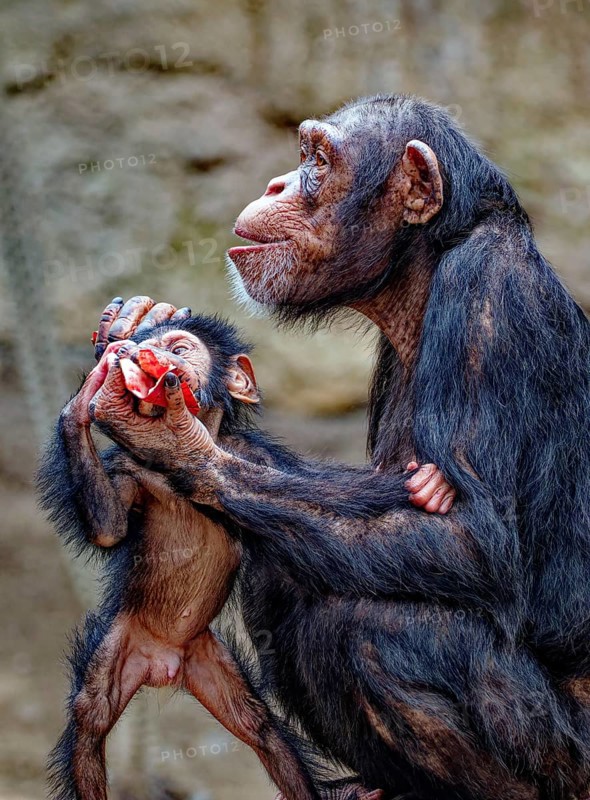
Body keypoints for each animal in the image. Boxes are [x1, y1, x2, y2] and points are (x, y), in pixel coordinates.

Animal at [39, 309, 452, 800]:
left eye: (179, 348)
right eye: (151, 346)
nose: (151, 356)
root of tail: (163, 664)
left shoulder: (254, 456)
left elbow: (320, 495)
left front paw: (427, 485)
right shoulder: (125, 469)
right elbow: (108, 529)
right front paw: (83, 403)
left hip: (209, 663)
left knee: (259, 727)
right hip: (124, 644)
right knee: (90, 714)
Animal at [87, 93, 590, 800]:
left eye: (318, 161)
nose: (278, 183)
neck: (423, 270)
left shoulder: (487, 294)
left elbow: (471, 535)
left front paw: (180, 441)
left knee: (367, 626)